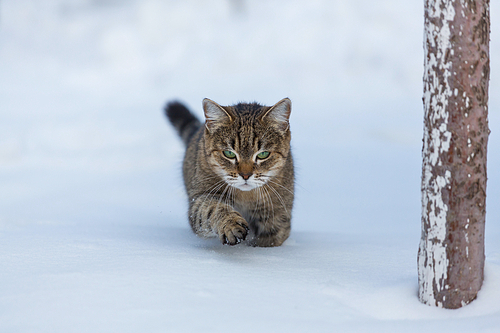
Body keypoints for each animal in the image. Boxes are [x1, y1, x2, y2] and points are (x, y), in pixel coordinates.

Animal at [166, 97, 294, 245]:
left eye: (263, 154)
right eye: (229, 153)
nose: (245, 175)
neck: (246, 197)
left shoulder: (277, 217)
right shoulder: (201, 197)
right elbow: (211, 208)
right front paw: (231, 224)